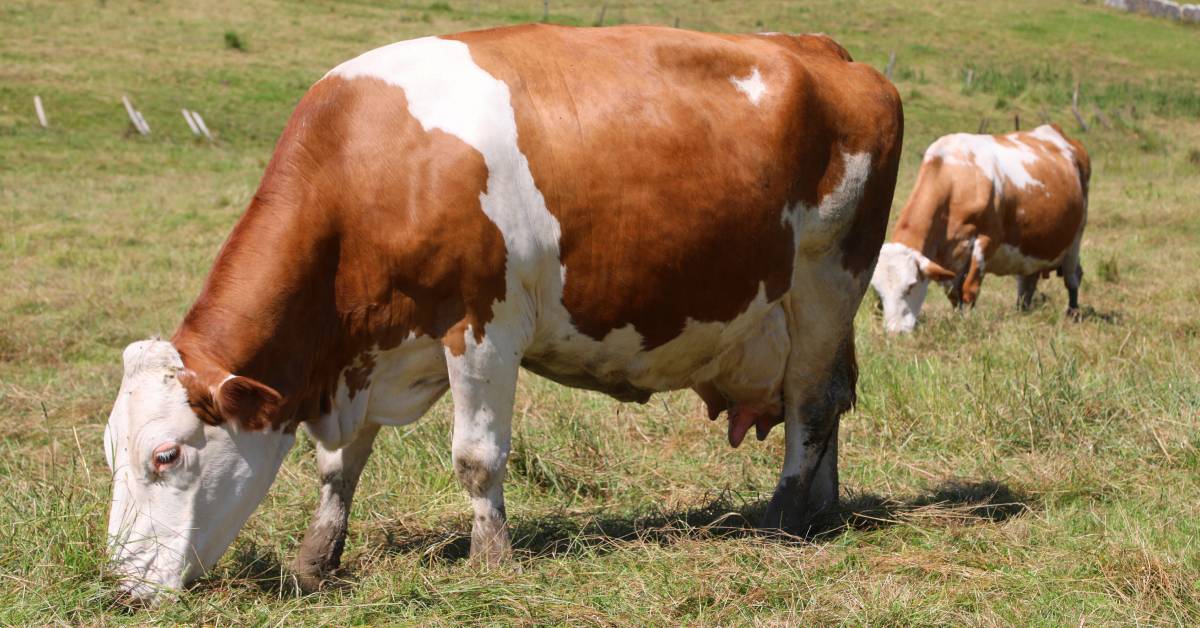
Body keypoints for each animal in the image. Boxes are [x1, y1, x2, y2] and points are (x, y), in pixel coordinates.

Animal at [103, 24, 903, 602]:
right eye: (111, 452)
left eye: (166, 455)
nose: (119, 587)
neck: (368, 168)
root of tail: (822, 50)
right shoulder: (364, 353)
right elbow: (337, 465)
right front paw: (316, 558)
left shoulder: (482, 329)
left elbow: (476, 456)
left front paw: (491, 559)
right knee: (825, 398)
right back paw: (824, 512)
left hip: (829, 278)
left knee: (810, 404)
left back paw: (785, 519)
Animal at [870, 124, 1090, 334]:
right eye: (878, 292)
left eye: (911, 285)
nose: (895, 332)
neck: (955, 180)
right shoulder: (947, 259)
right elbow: (953, 294)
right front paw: (958, 319)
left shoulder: (986, 240)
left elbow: (969, 289)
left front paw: (969, 321)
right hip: (1031, 247)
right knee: (1028, 280)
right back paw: (1022, 310)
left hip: (1076, 235)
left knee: (1073, 277)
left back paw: (1072, 312)